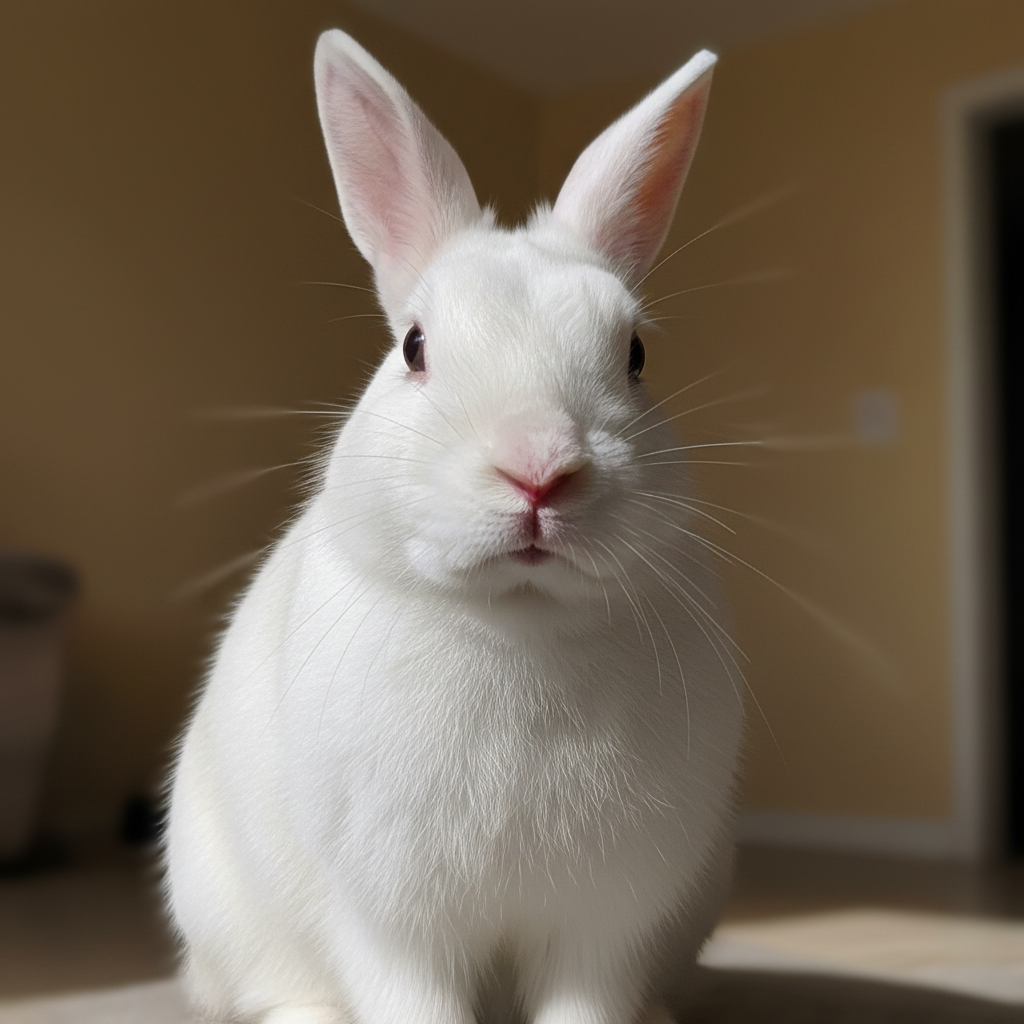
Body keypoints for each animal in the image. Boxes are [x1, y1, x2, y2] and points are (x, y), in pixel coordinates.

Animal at [164, 28, 744, 1024]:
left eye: (635, 356)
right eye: (414, 348)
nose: (539, 466)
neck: (518, 619)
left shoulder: (605, 926)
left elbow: (588, 999)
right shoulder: (390, 922)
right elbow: (411, 997)